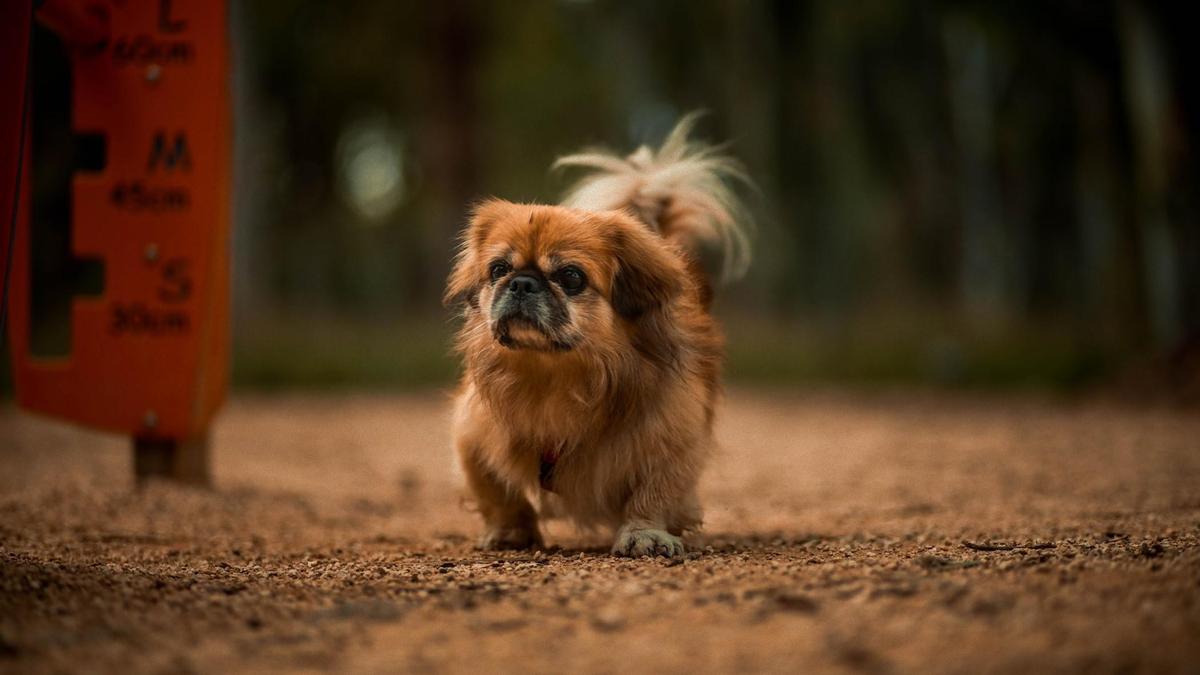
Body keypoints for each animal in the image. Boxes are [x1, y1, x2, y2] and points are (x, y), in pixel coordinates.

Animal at [446, 117, 753, 557]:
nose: (522, 282)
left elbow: (654, 491)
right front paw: (509, 532)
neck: (553, 376)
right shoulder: (472, 432)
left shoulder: (672, 434)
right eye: (498, 269)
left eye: (571, 277)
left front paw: (644, 534)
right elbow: (496, 491)